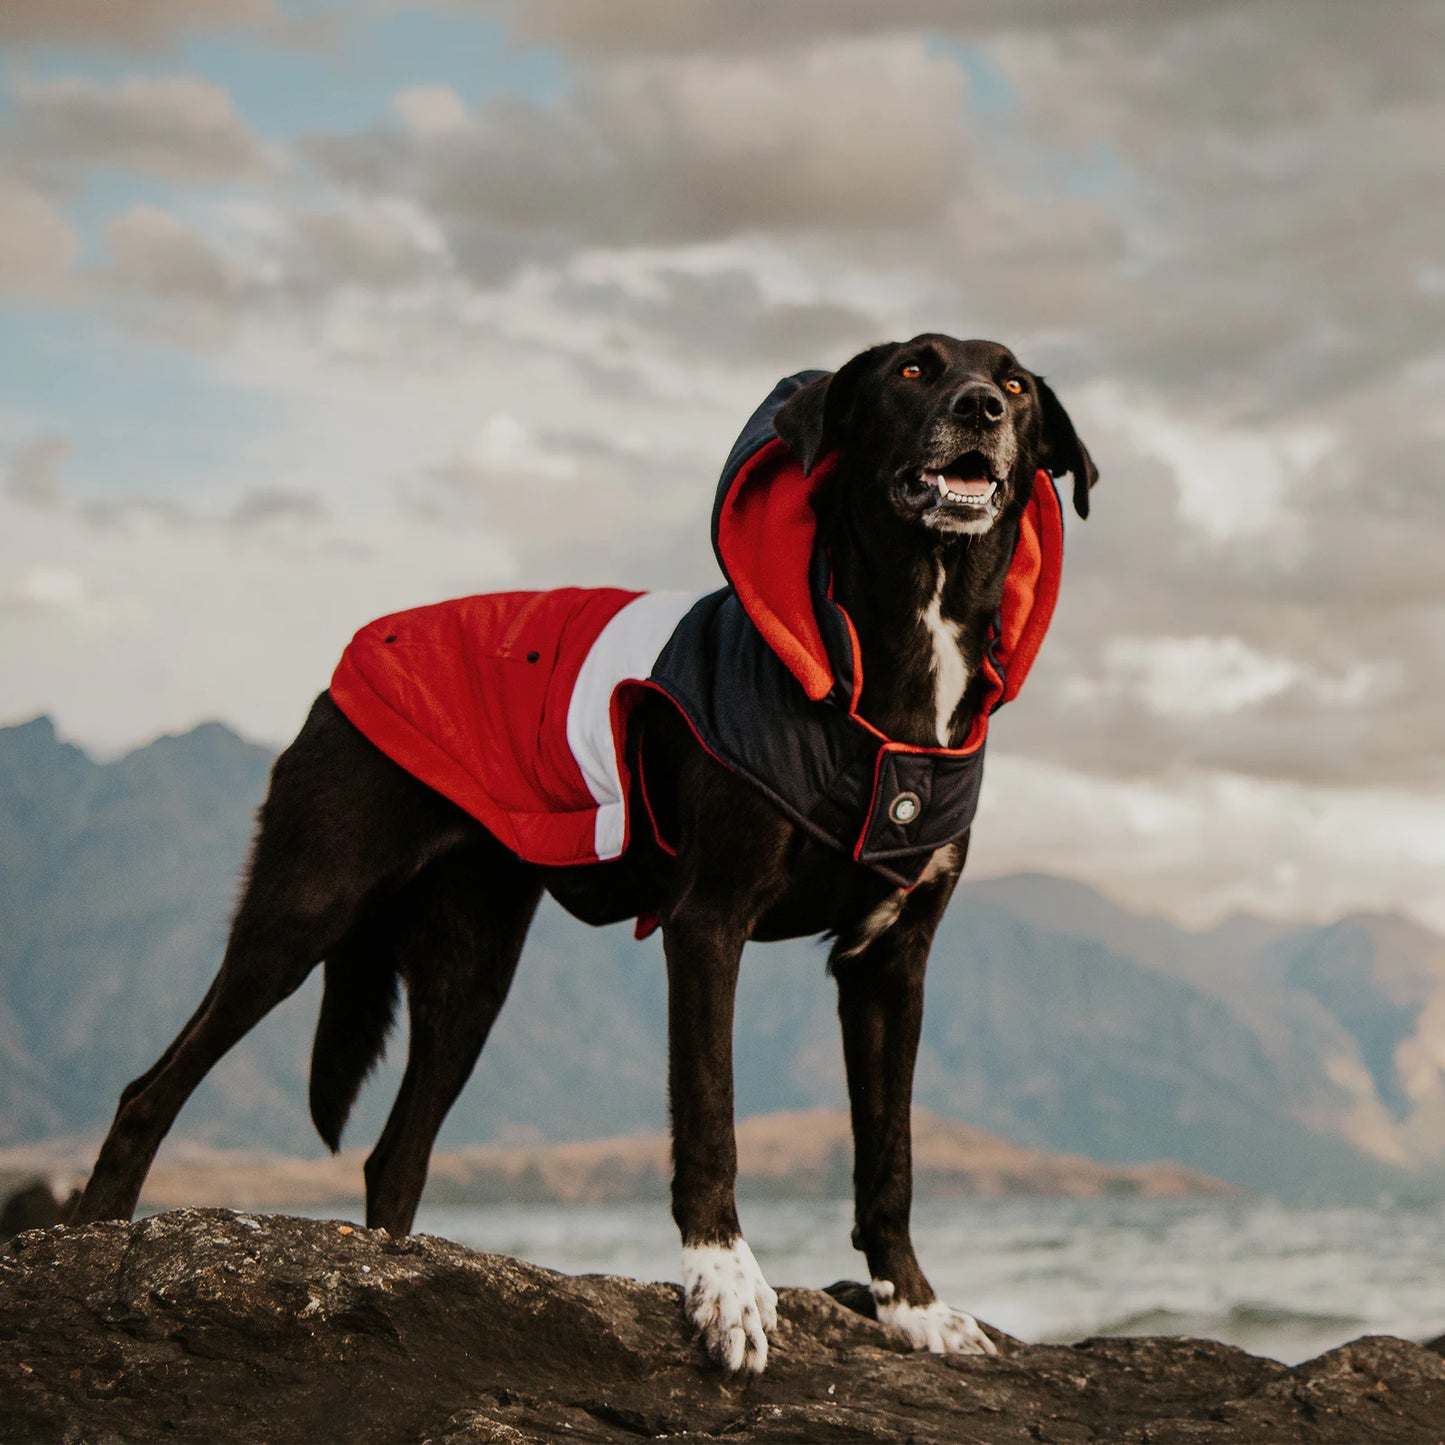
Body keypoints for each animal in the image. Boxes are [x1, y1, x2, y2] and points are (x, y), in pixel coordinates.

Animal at [73, 332, 1092, 1369]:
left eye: (1012, 382)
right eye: (913, 370)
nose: (979, 409)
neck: (884, 660)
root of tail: (343, 671)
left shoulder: (890, 962)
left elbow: (891, 1156)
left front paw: (914, 1307)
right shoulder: (707, 923)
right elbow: (711, 1116)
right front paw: (725, 1283)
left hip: (472, 976)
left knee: (396, 1154)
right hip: (303, 907)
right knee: (147, 1092)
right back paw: (94, 1244)